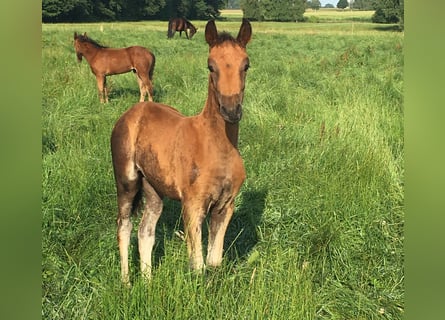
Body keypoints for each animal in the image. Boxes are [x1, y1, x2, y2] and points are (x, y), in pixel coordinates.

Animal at [109, 18, 251, 284]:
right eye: (210, 66)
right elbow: (198, 265)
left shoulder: (225, 206)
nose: (231, 110)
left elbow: (214, 262)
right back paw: (126, 282)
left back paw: (148, 282)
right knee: (124, 225)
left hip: (153, 187)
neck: (217, 147)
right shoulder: (193, 205)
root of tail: (133, 111)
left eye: (246, 65)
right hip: (127, 180)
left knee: (145, 231)